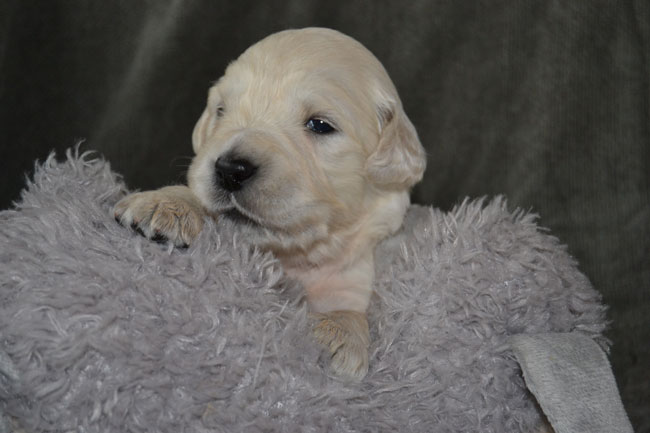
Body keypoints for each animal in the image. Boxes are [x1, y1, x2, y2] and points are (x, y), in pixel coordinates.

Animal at [114, 27, 428, 378]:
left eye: (320, 125)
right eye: (221, 111)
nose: (230, 170)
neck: (295, 258)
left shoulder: (355, 275)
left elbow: (348, 309)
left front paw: (339, 333)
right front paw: (168, 202)